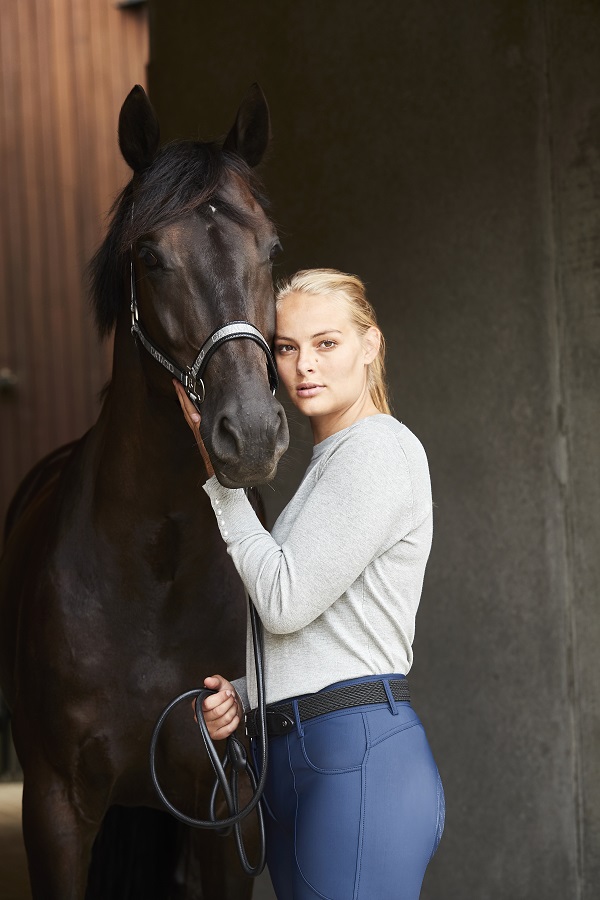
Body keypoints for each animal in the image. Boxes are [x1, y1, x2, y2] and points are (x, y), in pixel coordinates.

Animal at [0, 83, 289, 899]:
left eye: (273, 250)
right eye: (150, 256)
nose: (251, 432)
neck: (154, 575)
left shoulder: (230, 806)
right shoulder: (55, 812)